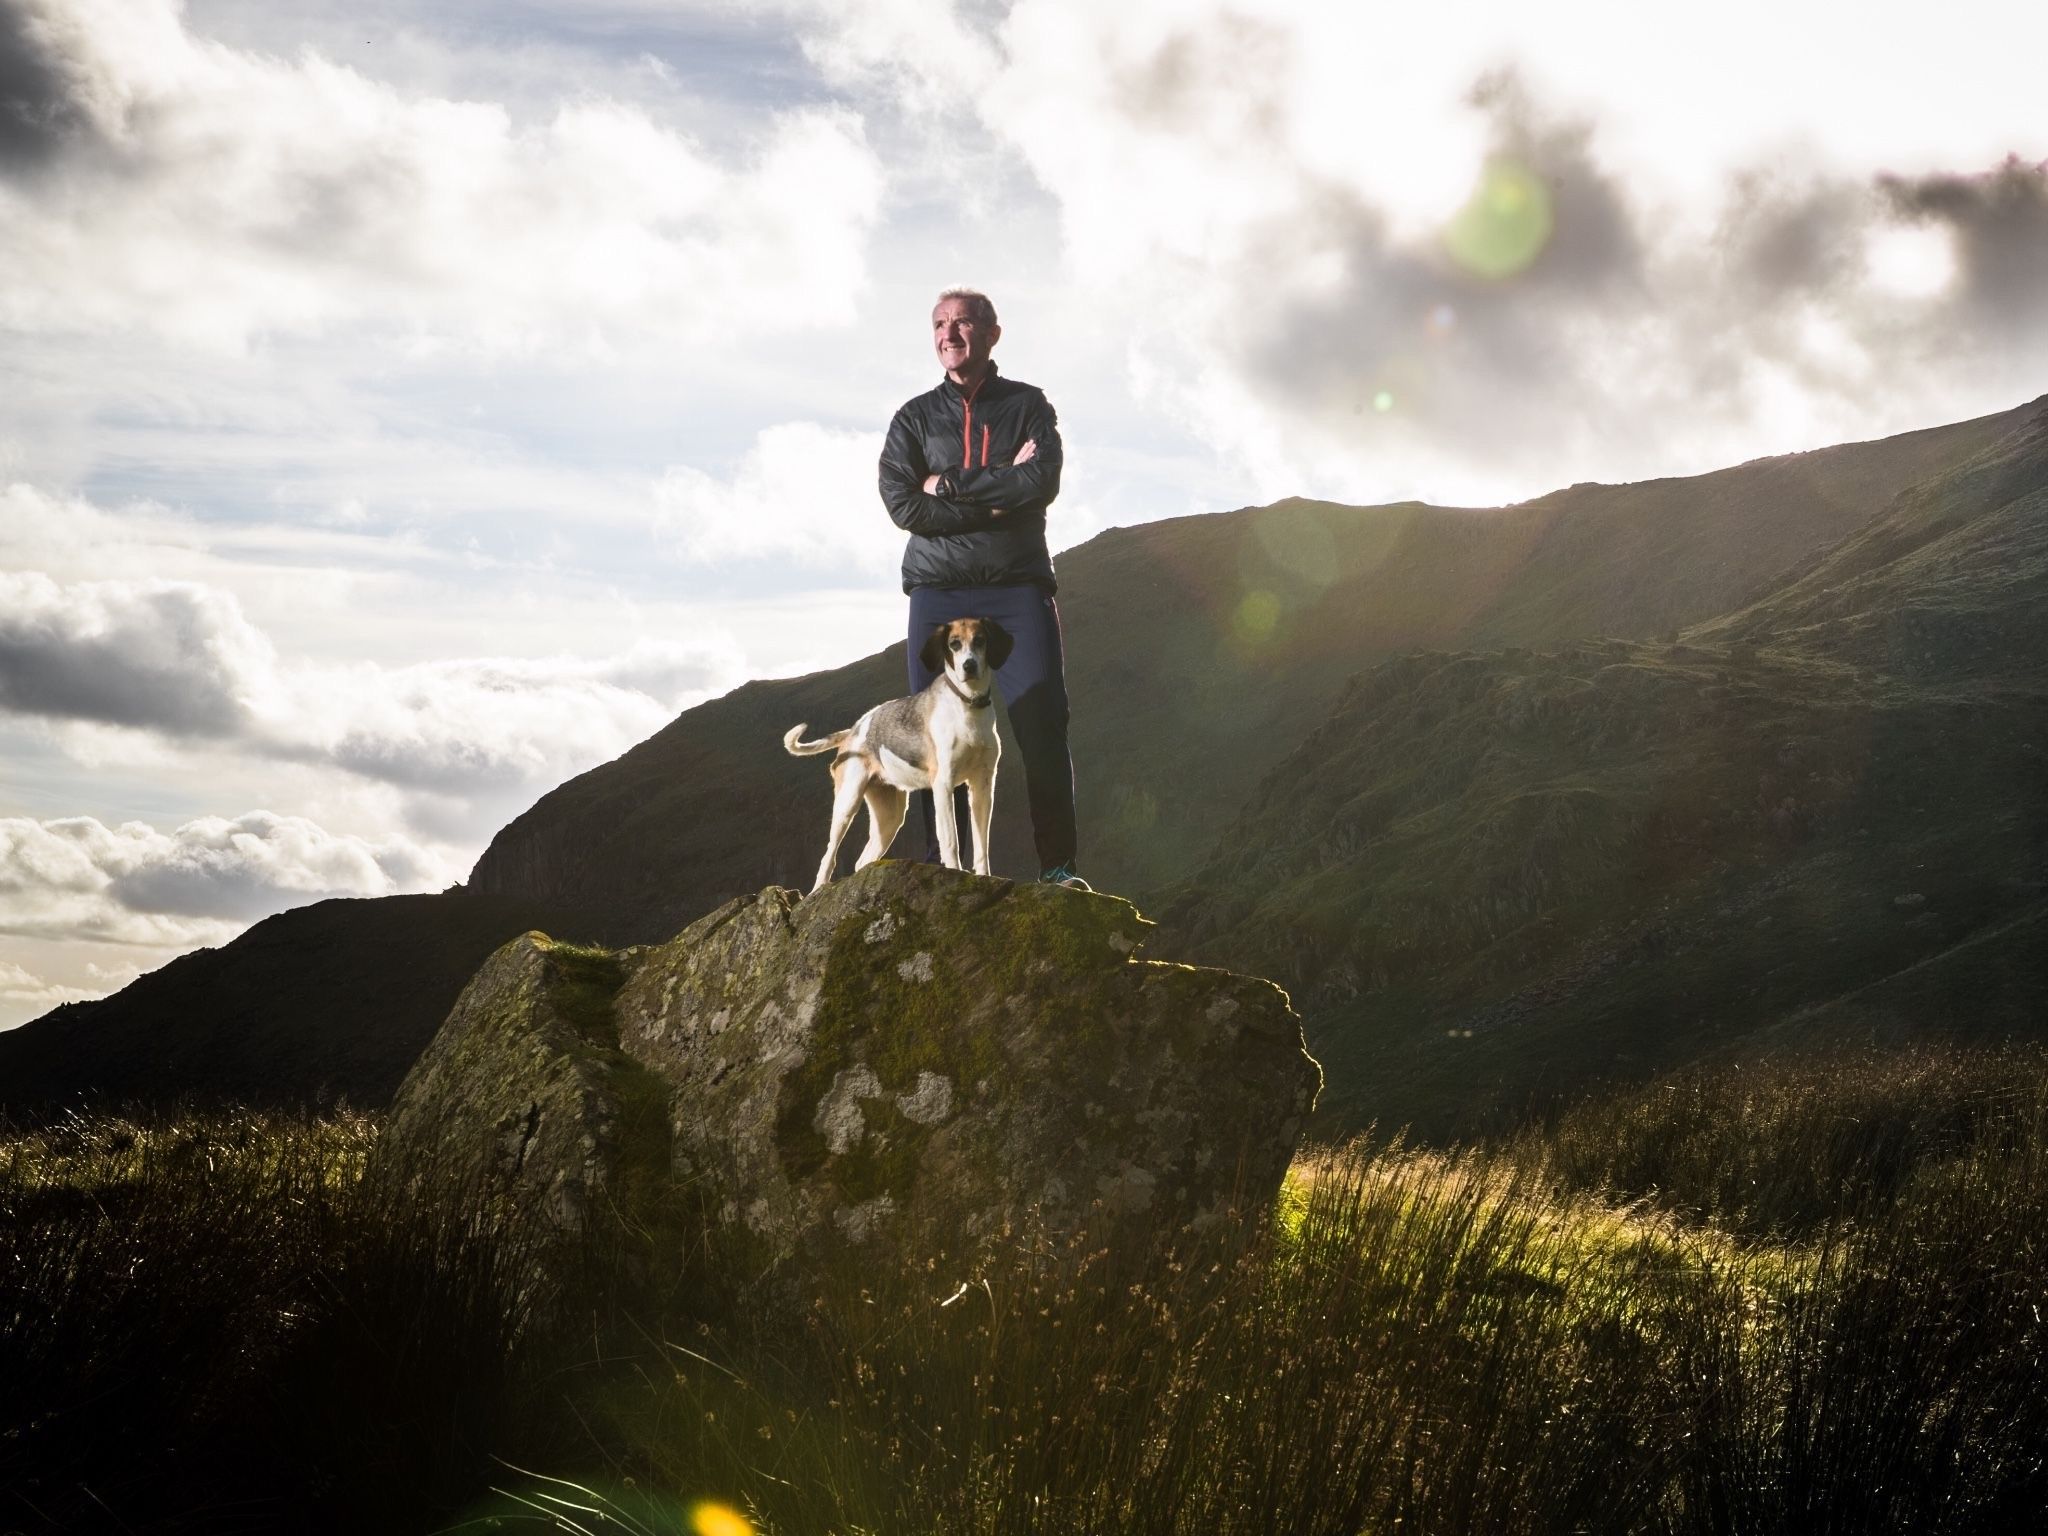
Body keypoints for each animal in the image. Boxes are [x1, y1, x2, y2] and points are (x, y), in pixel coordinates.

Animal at [778, 618, 1011, 897]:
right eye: (954, 644)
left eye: (980, 640)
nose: (969, 665)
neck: (967, 705)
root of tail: (853, 730)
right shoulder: (943, 785)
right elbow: (950, 840)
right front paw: (956, 874)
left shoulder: (982, 786)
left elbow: (981, 842)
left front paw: (985, 877)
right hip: (847, 804)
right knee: (829, 856)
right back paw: (817, 891)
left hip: (890, 816)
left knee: (862, 860)